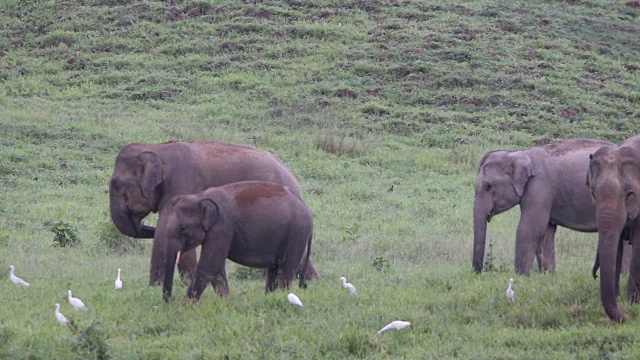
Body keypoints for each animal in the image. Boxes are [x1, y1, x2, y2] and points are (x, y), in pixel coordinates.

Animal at [161, 180, 314, 300]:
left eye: (182, 229)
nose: (170, 299)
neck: (200, 196)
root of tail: (307, 210)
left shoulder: (222, 227)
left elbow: (210, 264)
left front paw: (187, 304)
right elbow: (217, 267)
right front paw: (225, 300)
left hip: (296, 234)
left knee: (285, 268)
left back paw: (281, 295)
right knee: (274, 270)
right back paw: (270, 297)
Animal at [472, 136, 632, 274]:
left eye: (488, 186)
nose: (478, 272)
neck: (517, 153)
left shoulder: (539, 187)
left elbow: (529, 228)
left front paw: (520, 276)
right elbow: (546, 231)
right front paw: (548, 275)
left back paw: (623, 274)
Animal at [588, 139, 640, 322]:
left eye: (630, 194)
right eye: (593, 193)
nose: (627, 316)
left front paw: (633, 302)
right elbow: (616, 247)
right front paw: (620, 299)